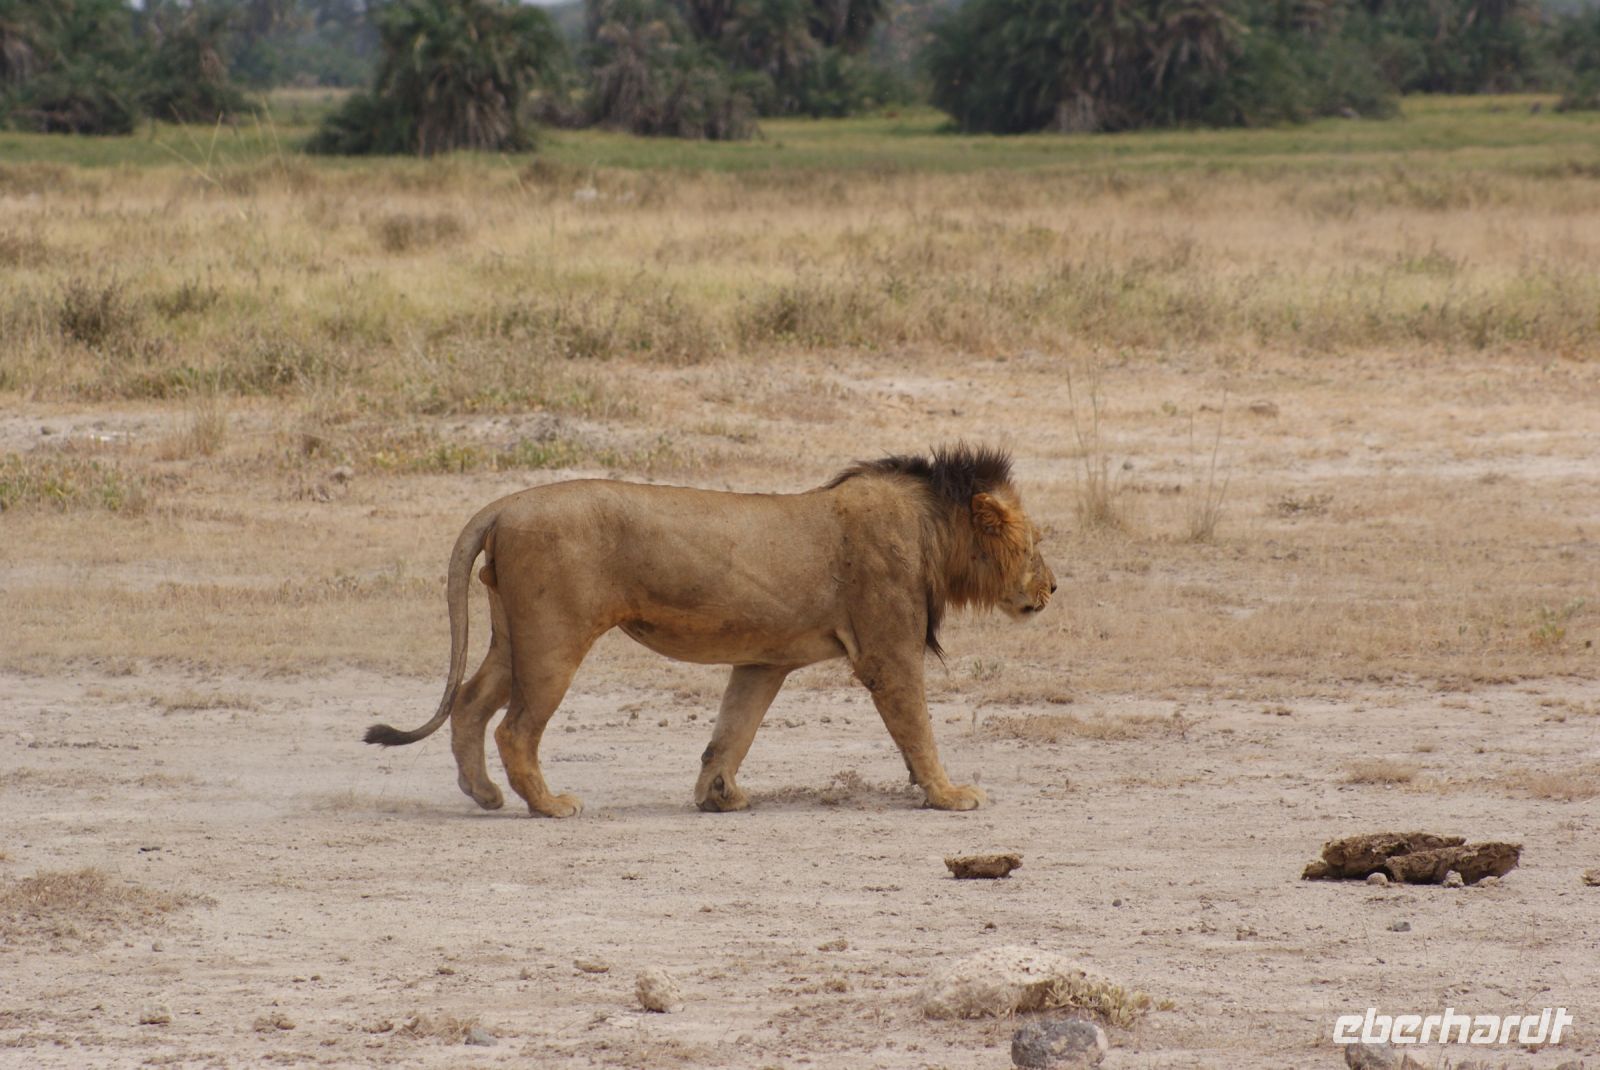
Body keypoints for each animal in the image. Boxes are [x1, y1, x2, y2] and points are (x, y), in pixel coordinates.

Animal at [364, 444, 1055, 816]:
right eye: (1038, 544)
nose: (1052, 590)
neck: (934, 532)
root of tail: (504, 503)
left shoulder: (765, 660)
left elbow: (732, 730)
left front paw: (718, 795)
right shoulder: (888, 652)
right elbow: (917, 728)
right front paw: (949, 794)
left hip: (514, 634)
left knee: (470, 702)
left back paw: (482, 794)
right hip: (554, 637)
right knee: (514, 728)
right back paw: (550, 805)